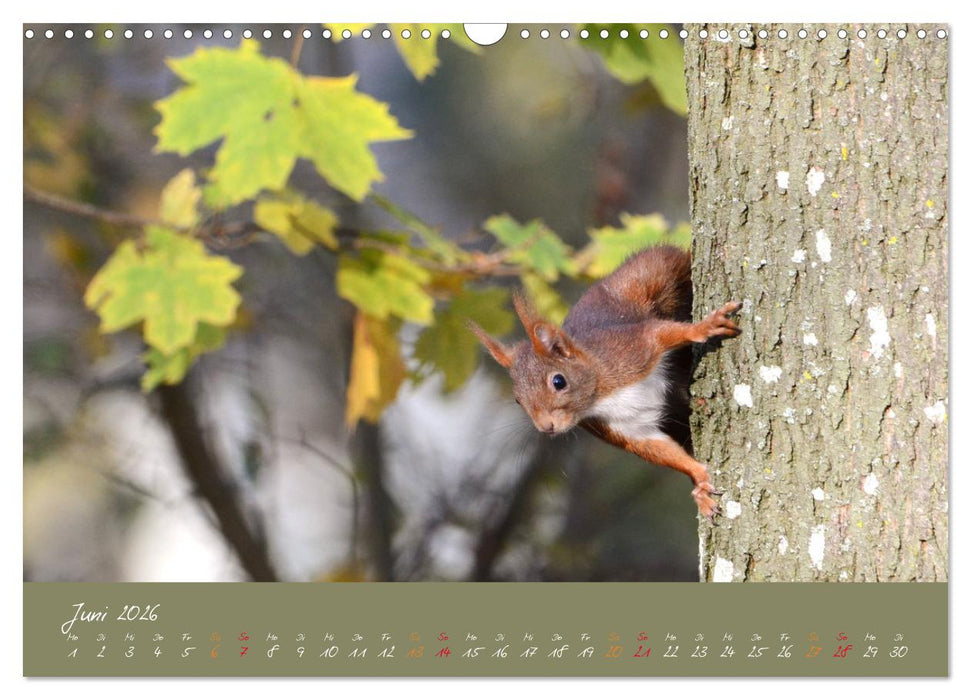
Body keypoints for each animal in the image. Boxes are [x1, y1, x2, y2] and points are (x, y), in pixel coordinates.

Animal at [470, 245, 741, 520]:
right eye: (517, 400)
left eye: (558, 381)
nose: (546, 427)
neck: (601, 396)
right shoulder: (622, 428)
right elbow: (655, 448)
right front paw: (699, 478)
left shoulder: (631, 349)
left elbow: (662, 333)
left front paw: (704, 327)